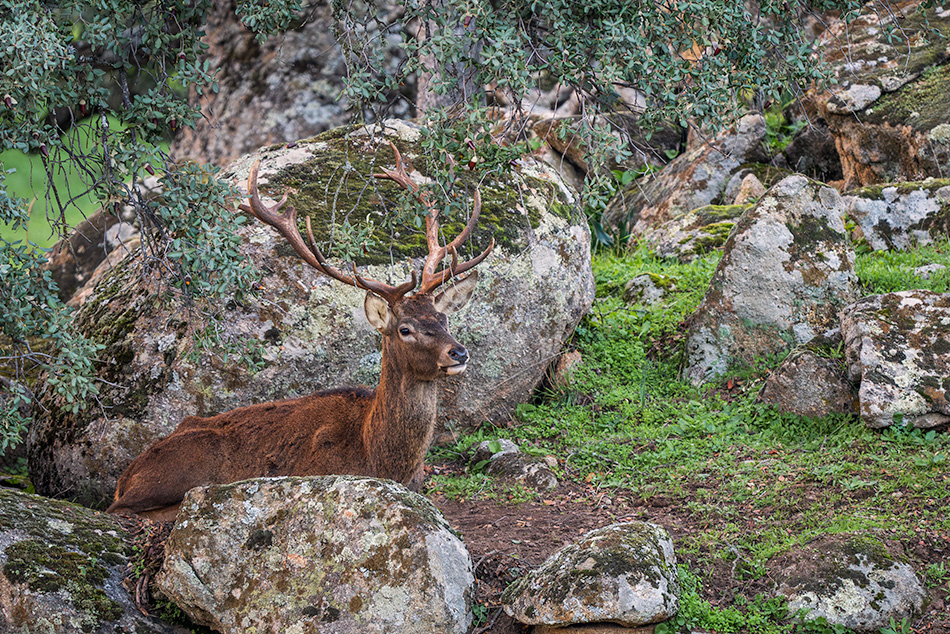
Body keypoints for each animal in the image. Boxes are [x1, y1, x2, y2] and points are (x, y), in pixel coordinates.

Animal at [108, 142, 494, 520]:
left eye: (443, 319)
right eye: (405, 329)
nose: (458, 352)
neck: (378, 457)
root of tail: (125, 476)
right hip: (184, 465)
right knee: (124, 510)